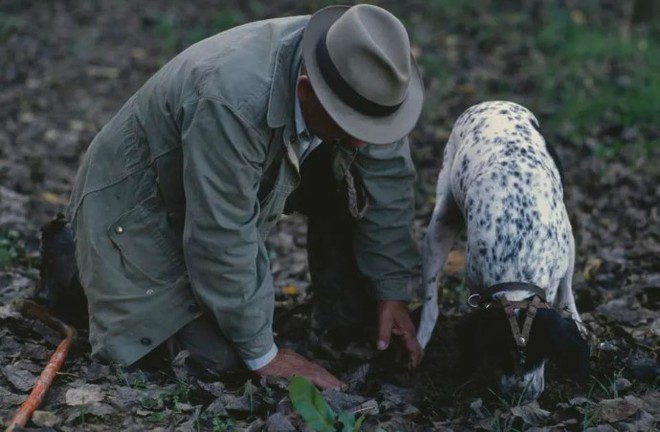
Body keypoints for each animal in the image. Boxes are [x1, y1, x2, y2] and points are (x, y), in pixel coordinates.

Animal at [416, 100, 592, 402]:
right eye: (503, 353)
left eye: (541, 353)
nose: (520, 396)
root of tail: (493, 102)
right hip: (441, 222)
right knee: (430, 298)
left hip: (568, 235)